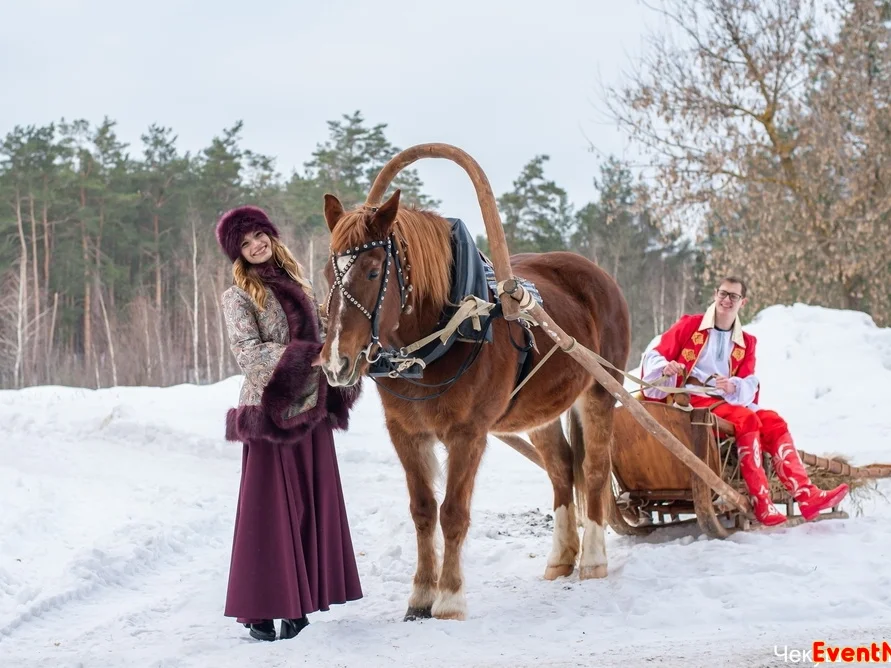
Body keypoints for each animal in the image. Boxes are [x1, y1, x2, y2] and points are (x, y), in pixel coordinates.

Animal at [319, 188, 630, 622]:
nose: (336, 362)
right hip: (541, 411)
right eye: (327, 274)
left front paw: (449, 598)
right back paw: (561, 558)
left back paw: (593, 559)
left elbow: (452, 512)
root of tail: (597, 273)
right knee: (561, 469)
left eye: (372, 271)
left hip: (601, 390)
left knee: (595, 469)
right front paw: (420, 595)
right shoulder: (405, 433)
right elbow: (422, 510)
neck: (443, 336)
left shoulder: (467, 434)